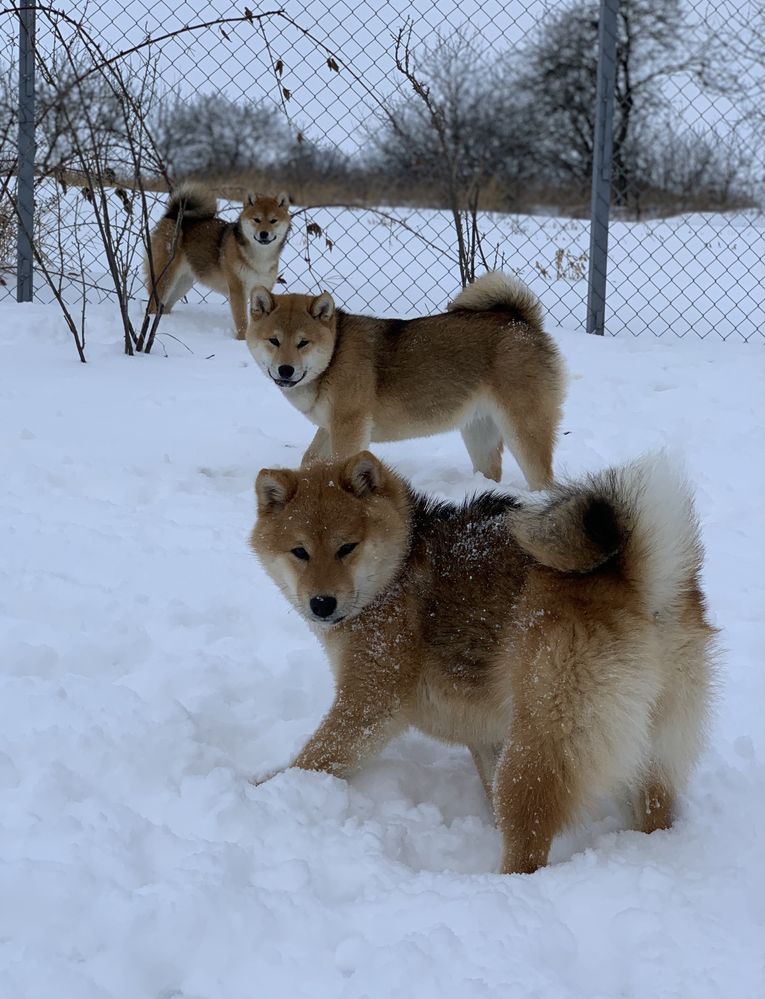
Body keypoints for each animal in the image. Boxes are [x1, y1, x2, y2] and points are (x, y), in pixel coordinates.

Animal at [143, 186, 290, 342]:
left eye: (273, 220)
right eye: (257, 220)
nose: (263, 234)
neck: (259, 258)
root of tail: (173, 215)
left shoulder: (262, 288)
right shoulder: (237, 289)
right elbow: (242, 320)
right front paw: (242, 340)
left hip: (182, 285)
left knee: (165, 308)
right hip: (166, 280)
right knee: (152, 307)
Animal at [246, 274, 568, 492]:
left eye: (303, 343)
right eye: (274, 340)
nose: (285, 370)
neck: (333, 357)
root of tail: (522, 322)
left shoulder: (349, 427)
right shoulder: (330, 426)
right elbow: (310, 458)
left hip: (524, 430)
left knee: (543, 479)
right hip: (480, 432)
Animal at [251, 454, 716, 876]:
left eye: (347, 547)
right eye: (299, 552)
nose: (321, 603)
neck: (399, 564)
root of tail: (641, 583)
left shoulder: (370, 700)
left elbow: (317, 756)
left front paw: (270, 788)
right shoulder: (487, 736)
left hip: (539, 745)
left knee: (527, 846)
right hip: (652, 745)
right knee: (654, 809)